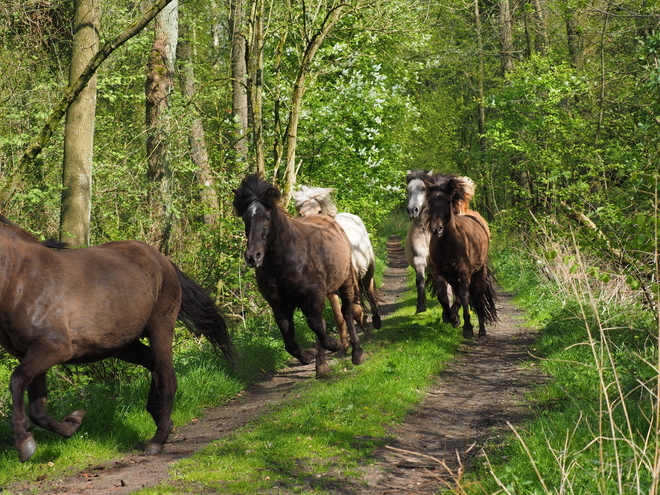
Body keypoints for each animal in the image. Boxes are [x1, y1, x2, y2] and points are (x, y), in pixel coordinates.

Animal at [0, 215, 235, 464]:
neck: (20, 280)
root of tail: (161, 258)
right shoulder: (32, 353)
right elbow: (38, 410)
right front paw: (73, 422)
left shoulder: (53, 348)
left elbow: (17, 381)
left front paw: (24, 444)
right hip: (123, 345)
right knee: (155, 367)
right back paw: (161, 419)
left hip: (160, 328)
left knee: (168, 378)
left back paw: (157, 439)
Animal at [233, 173, 366, 376]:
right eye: (246, 219)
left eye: (267, 218)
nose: (252, 256)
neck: (283, 262)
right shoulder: (279, 305)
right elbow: (289, 340)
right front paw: (308, 356)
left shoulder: (314, 295)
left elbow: (316, 324)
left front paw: (334, 345)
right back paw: (321, 365)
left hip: (345, 282)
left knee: (347, 312)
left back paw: (356, 353)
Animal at [292, 186, 382, 334]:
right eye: (301, 214)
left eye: (319, 211)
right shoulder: (331, 291)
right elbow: (339, 317)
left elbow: (355, 310)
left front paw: (365, 328)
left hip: (369, 268)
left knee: (369, 289)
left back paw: (376, 321)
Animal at [402, 170, 474, 314]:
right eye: (408, 189)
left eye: (423, 188)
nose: (412, 210)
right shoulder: (419, 259)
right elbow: (420, 281)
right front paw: (420, 307)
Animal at [422, 174, 496, 340]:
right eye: (430, 201)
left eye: (447, 201)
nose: (436, 229)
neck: (448, 243)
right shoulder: (442, 272)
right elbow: (443, 296)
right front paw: (453, 318)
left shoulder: (464, 271)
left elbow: (464, 295)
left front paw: (467, 327)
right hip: (453, 276)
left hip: (478, 272)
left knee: (478, 298)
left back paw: (482, 332)